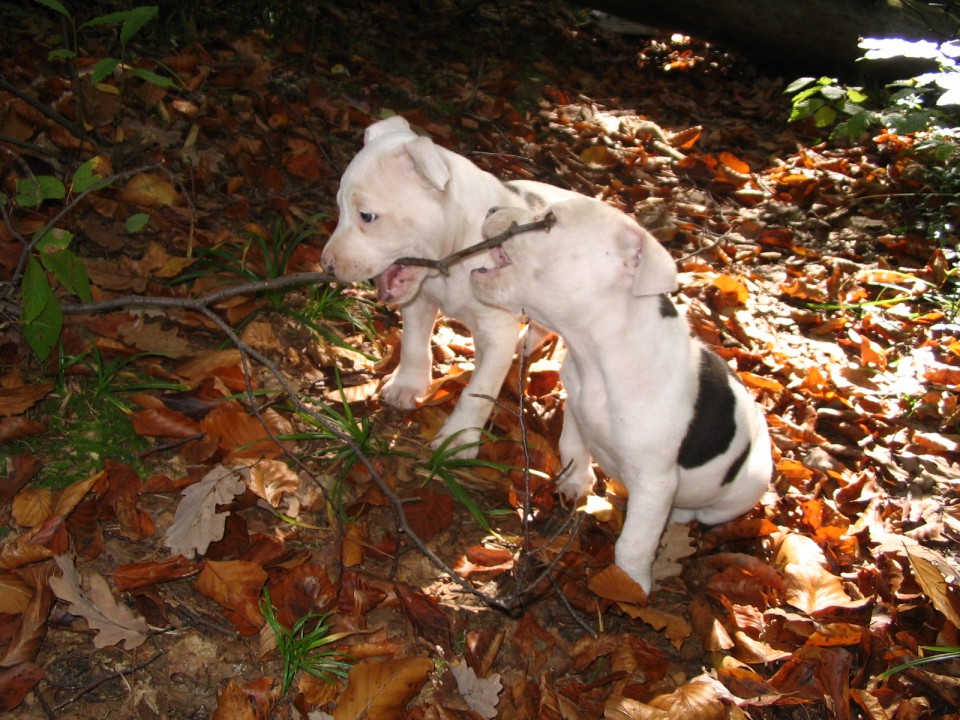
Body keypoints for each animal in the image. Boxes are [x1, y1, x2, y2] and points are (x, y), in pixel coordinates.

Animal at [322, 117, 576, 456]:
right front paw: (407, 386)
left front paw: (458, 439)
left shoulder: (496, 332)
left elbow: (478, 392)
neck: (453, 258)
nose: (325, 266)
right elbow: (414, 346)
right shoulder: (418, 302)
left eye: (367, 216)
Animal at [472, 195, 772, 592]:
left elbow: (634, 541)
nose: (492, 208)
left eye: (549, 220)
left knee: (702, 511)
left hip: (747, 484)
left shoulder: (655, 482)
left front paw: (630, 585)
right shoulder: (576, 407)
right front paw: (575, 483)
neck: (598, 351)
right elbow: (572, 446)